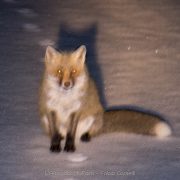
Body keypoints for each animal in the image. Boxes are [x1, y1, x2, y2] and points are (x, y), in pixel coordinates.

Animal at [38, 45, 172, 153]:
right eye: (59, 71)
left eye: (74, 71)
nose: (67, 84)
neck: (65, 100)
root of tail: (103, 116)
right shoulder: (50, 109)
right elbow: (54, 133)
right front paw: (55, 147)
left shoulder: (76, 110)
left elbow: (71, 134)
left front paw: (70, 148)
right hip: (44, 119)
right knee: (58, 133)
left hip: (92, 119)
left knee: (90, 133)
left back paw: (86, 136)